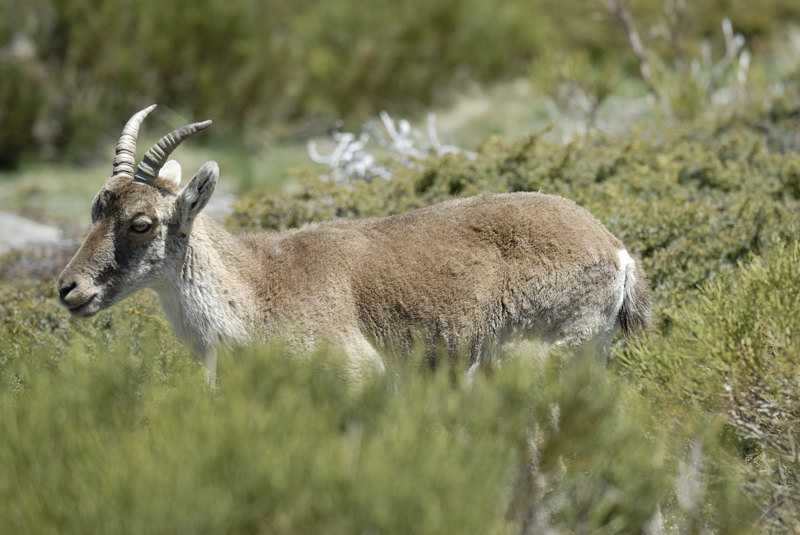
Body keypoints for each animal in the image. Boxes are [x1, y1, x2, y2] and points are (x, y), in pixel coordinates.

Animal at [61, 104, 648, 382]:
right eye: (95, 208)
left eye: (141, 222)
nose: (69, 288)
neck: (259, 288)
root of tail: (616, 249)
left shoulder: (357, 377)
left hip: (543, 351)